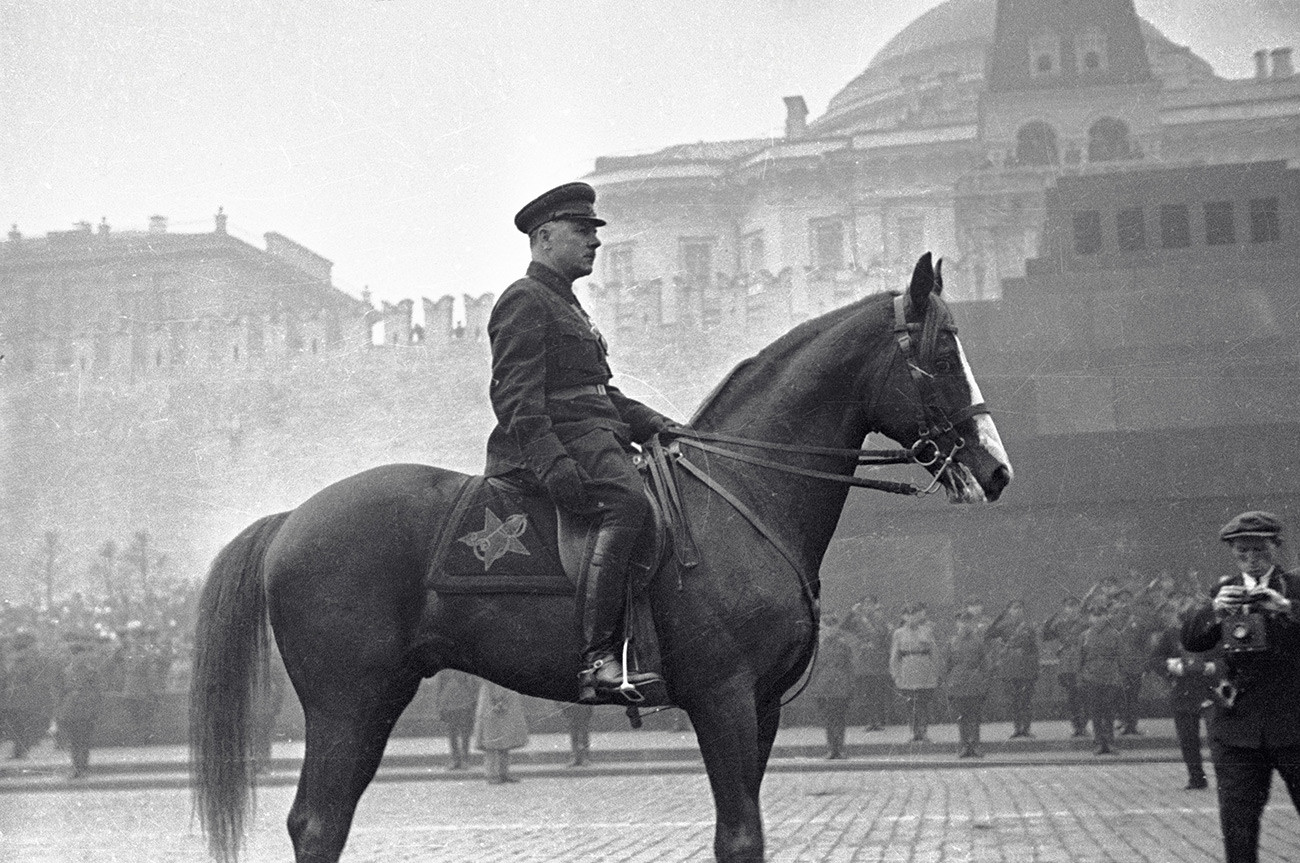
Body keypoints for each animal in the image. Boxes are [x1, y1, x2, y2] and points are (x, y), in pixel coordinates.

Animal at [188, 254, 1008, 863]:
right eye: (942, 351)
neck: (744, 489)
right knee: (317, 822)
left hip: (374, 698)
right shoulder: (725, 697)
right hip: (347, 701)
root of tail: (293, 517)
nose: (997, 470)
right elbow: (741, 836)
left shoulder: (766, 706)